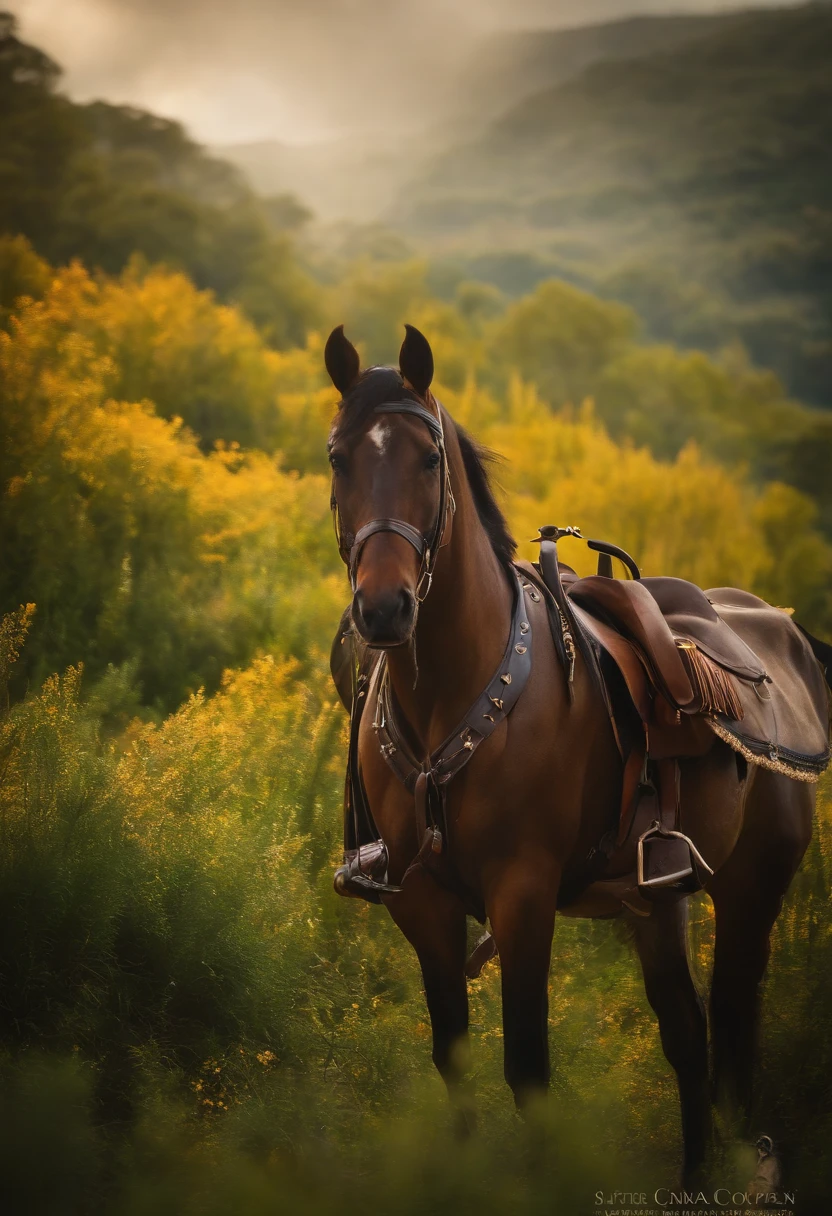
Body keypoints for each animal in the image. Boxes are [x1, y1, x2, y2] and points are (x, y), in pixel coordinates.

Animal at [325, 323, 827, 1177]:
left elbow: (527, 1069)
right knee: (689, 1040)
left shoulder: (524, 896)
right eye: (338, 459)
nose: (384, 609)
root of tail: (783, 632)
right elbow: (454, 1060)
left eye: (428, 461)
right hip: (656, 900)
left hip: (749, 895)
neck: (458, 693)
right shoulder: (423, 902)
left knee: (730, 1041)